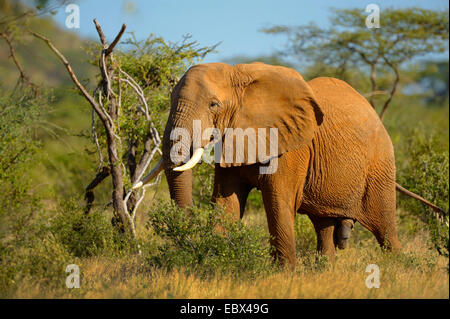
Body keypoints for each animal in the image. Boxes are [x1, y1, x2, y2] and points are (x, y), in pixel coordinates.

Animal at [133, 62, 442, 268]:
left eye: (213, 105)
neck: (239, 74)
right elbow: (225, 202)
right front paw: (215, 259)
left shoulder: (293, 146)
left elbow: (278, 201)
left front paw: (283, 275)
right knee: (323, 227)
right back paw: (326, 270)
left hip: (380, 165)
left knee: (386, 231)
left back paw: (400, 271)